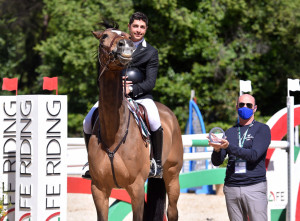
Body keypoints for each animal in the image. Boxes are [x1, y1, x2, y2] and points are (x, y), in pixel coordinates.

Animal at [88, 21, 184, 221]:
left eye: (127, 35)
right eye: (104, 36)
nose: (126, 45)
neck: (114, 134)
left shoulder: (136, 188)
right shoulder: (99, 189)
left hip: (172, 175)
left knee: (172, 211)